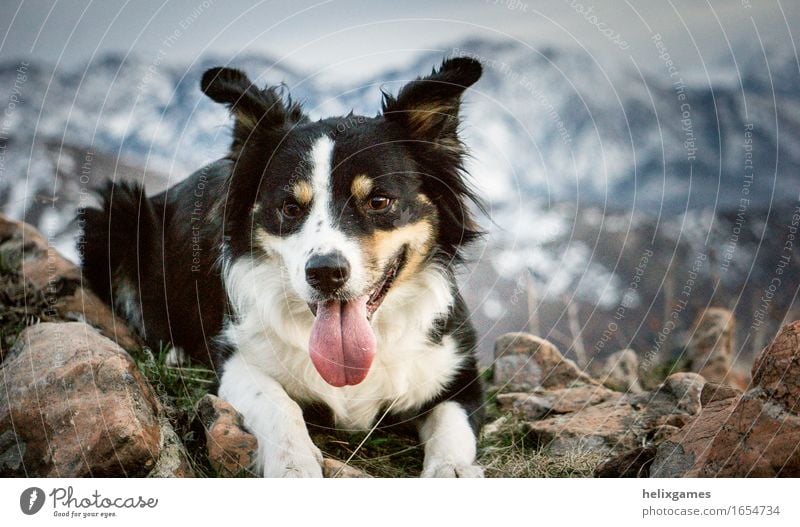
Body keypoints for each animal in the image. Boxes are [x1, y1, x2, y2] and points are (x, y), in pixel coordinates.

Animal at [78, 57, 484, 478]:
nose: (325, 273)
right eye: (290, 207)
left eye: (378, 201)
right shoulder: (238, 356)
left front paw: (452, 471)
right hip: (116, 213)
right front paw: (294, 466)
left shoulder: (459, 371)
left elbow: (452, 425)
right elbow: (277, 402)